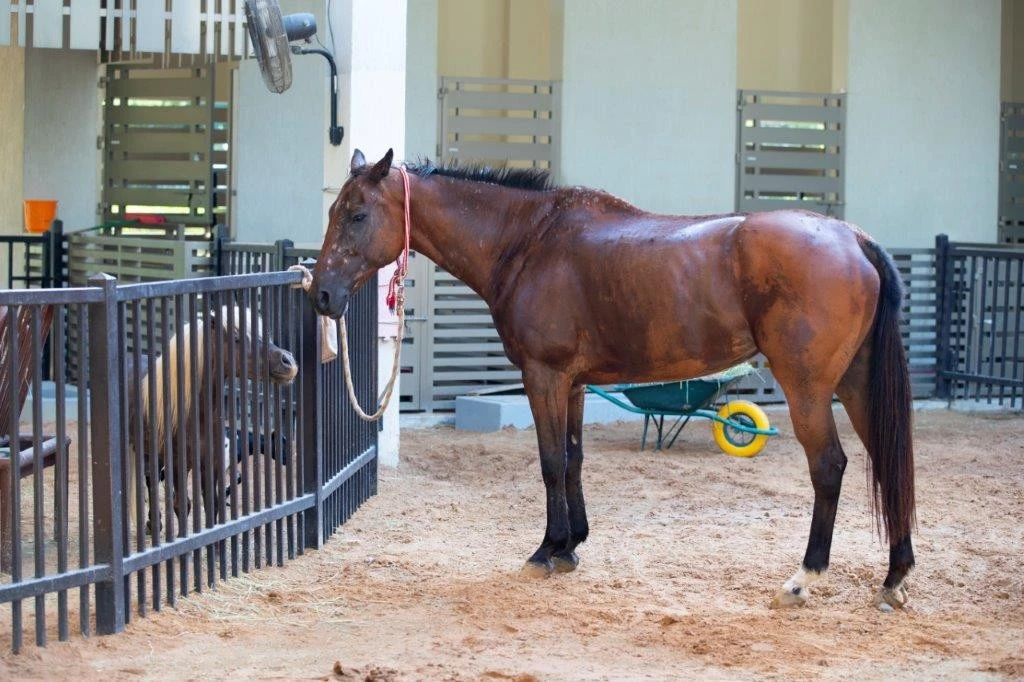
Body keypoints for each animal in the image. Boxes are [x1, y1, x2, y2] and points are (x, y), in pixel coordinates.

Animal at [125, 305, 298, 538]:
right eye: (236, 337)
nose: (288, 362)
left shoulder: (212, 463)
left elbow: (213, 505)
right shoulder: (179, 464)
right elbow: (183, 504)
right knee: (150, 481)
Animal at [310, 149, 915, 611]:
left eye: (357, 214)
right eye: (336, 210)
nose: (321, 295)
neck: (528, 241)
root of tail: (852, 238)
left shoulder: (544, 376)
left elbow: (552, 461)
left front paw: (546, 550)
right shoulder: (575, 383)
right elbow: (575, 458)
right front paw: (571, 546)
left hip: (807, 388)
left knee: (829, 467)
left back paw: (803, 578)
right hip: (856, 385)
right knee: (888, 461)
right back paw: (894, 578)